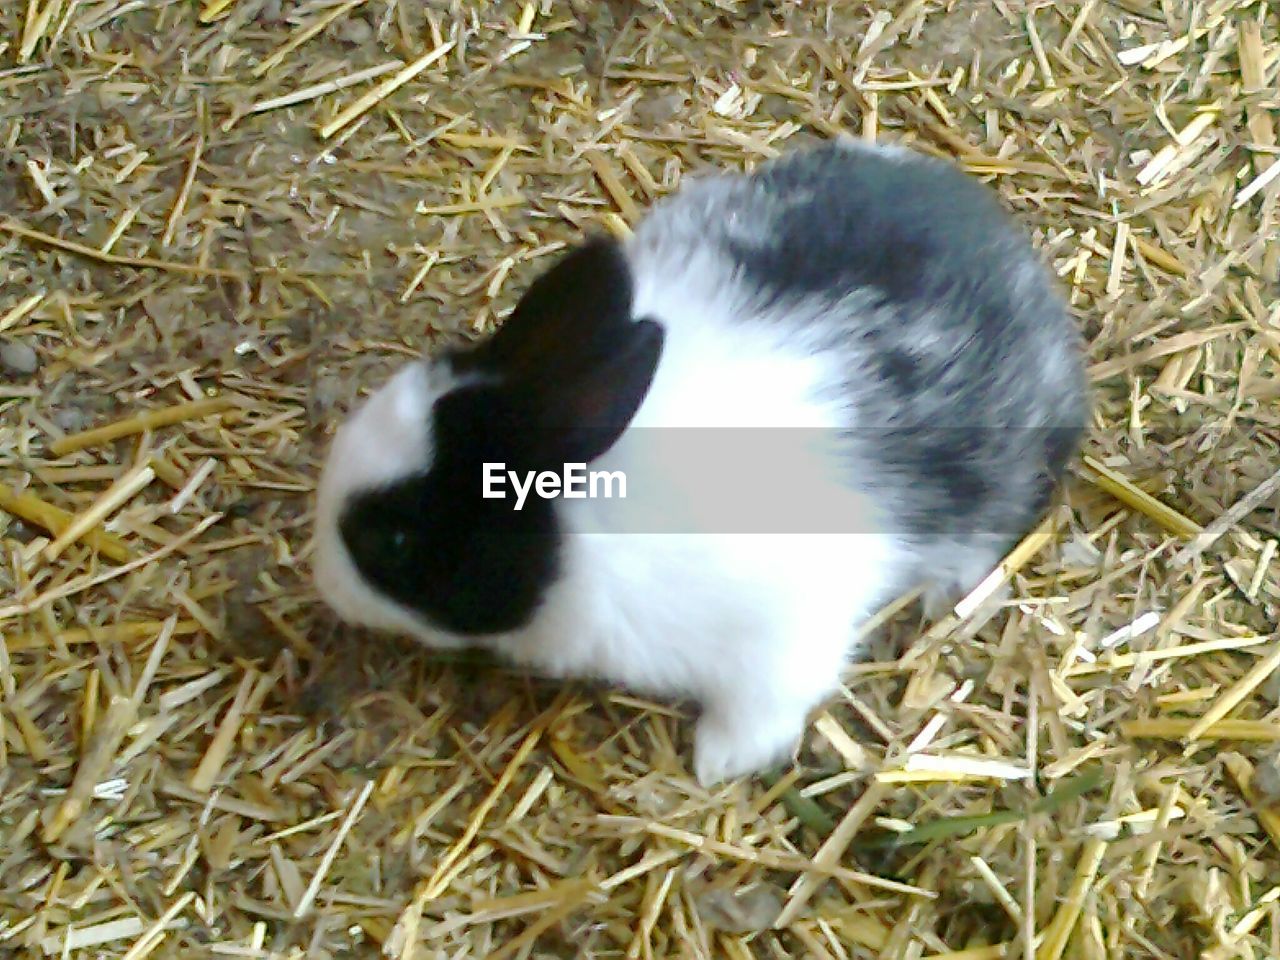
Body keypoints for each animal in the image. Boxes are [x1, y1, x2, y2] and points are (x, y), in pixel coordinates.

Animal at [312, 140, 1090, 788]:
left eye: (395, 539)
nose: (325, 585)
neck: (588, 520)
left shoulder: (781, 636)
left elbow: (764, 707)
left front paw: (718, 763)